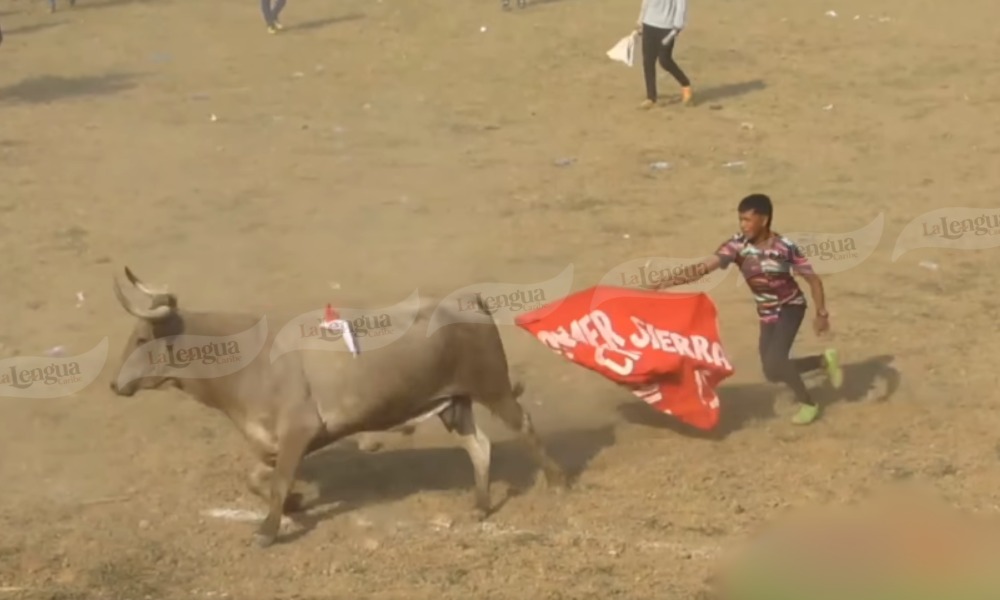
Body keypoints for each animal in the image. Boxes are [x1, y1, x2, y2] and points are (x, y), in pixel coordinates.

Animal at [110, 264, 568, 548]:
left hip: (493, 387)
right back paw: (480, 506)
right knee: (479, 446)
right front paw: (295, 505)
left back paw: (557, 481)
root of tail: (469, 299)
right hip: (453, 403)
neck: (249, 362)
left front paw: (269, 530)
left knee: (523, 425)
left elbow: (277, 481)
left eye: (140, 339)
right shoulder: (274, 441)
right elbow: (256, 478)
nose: (115, 384)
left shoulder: (300, 431)